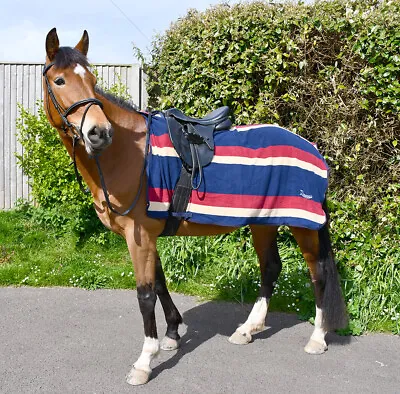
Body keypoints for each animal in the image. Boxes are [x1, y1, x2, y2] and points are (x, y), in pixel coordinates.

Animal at [41, 29, 346, 386]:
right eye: (60, 80)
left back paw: (317, 338)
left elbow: (145, 295)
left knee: (317, 272)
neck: (128, 155)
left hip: (302, 225)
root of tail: (312, 147)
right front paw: (172, 334)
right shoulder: (148, 235)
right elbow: (160, 283)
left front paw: (145, 361)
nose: (99, 133)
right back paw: (248, 329)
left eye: (91, 79)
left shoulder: (139, 235)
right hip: (264, 222)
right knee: (271, 268)